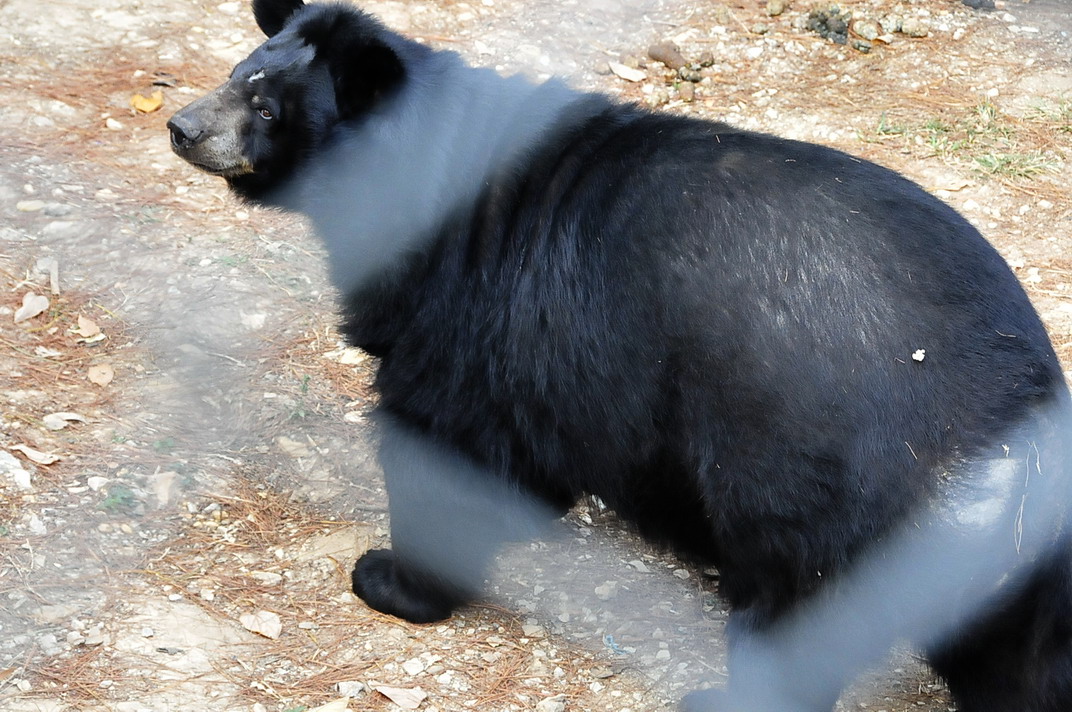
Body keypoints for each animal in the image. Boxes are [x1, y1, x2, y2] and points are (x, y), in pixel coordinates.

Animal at [167, 0, 1072, 709]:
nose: (181, 128)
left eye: (269, 108)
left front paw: (389, 579)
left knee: (791, 613)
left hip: (805, 470)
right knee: (1018, 662)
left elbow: (438, 451)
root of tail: (1012, 423)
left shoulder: (461, 316)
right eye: (236, 72)